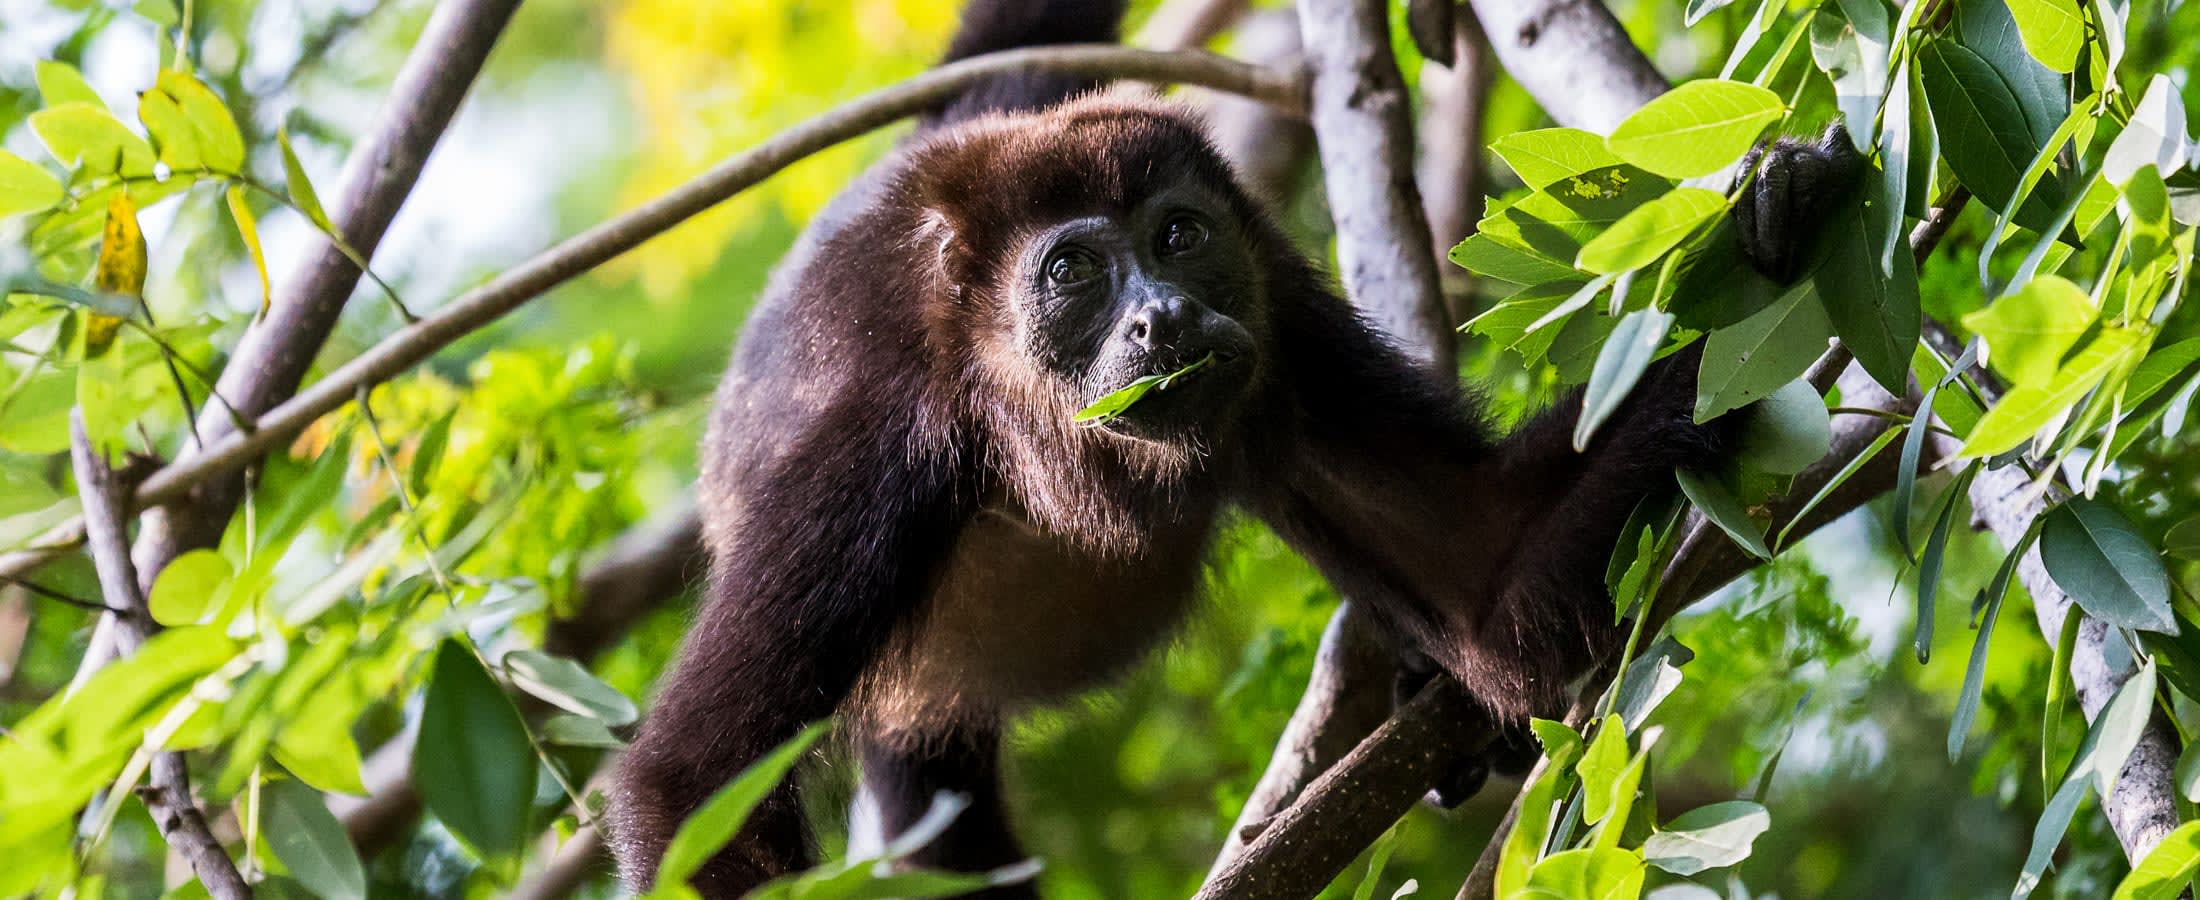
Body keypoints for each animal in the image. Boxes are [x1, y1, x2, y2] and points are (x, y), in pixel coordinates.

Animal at [612, 0, 1863, 894]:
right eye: (1074, 271)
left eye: (1178, 236)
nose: (1161, 318)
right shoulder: (876, 450)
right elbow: (694, 786)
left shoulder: (1283, 328)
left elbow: (1487, 586)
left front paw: (1774, 219)